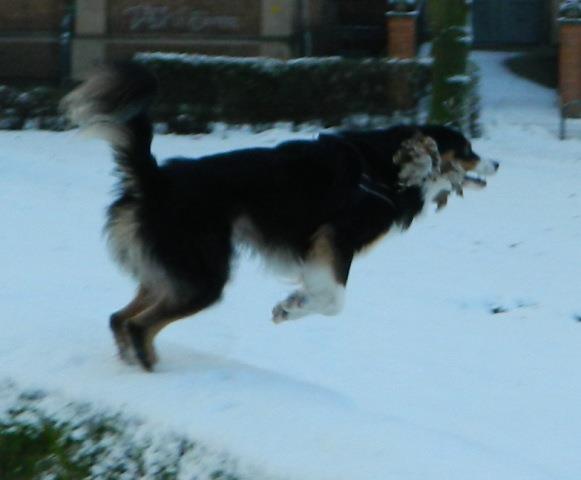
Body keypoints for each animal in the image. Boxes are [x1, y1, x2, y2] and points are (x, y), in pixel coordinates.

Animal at [63, 62, 498, 372]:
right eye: (467, 150)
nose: (496, 163)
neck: (387, 169)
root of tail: (155, 179)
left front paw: (292, 303)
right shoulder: (335, 238)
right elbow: (335, 300)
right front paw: (292, 306)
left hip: (172, 267)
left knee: (120, 318)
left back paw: (131, 359)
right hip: (203, 273)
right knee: (139, 325)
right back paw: (149, 365)